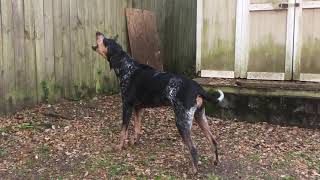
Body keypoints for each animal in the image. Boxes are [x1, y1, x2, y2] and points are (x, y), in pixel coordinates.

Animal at [91, 31, 224, 174]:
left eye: (106, 41)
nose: (98, 32)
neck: (126, 67)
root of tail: (197, 87)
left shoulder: (127, 106)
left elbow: (123, 130)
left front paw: (119, 146)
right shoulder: (138, 108)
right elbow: (137, 129)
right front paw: (134, 143)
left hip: (182, 122)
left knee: (194, 149)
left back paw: (193, 170)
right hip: (200, 117)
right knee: (213, 141)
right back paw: (215, 161)